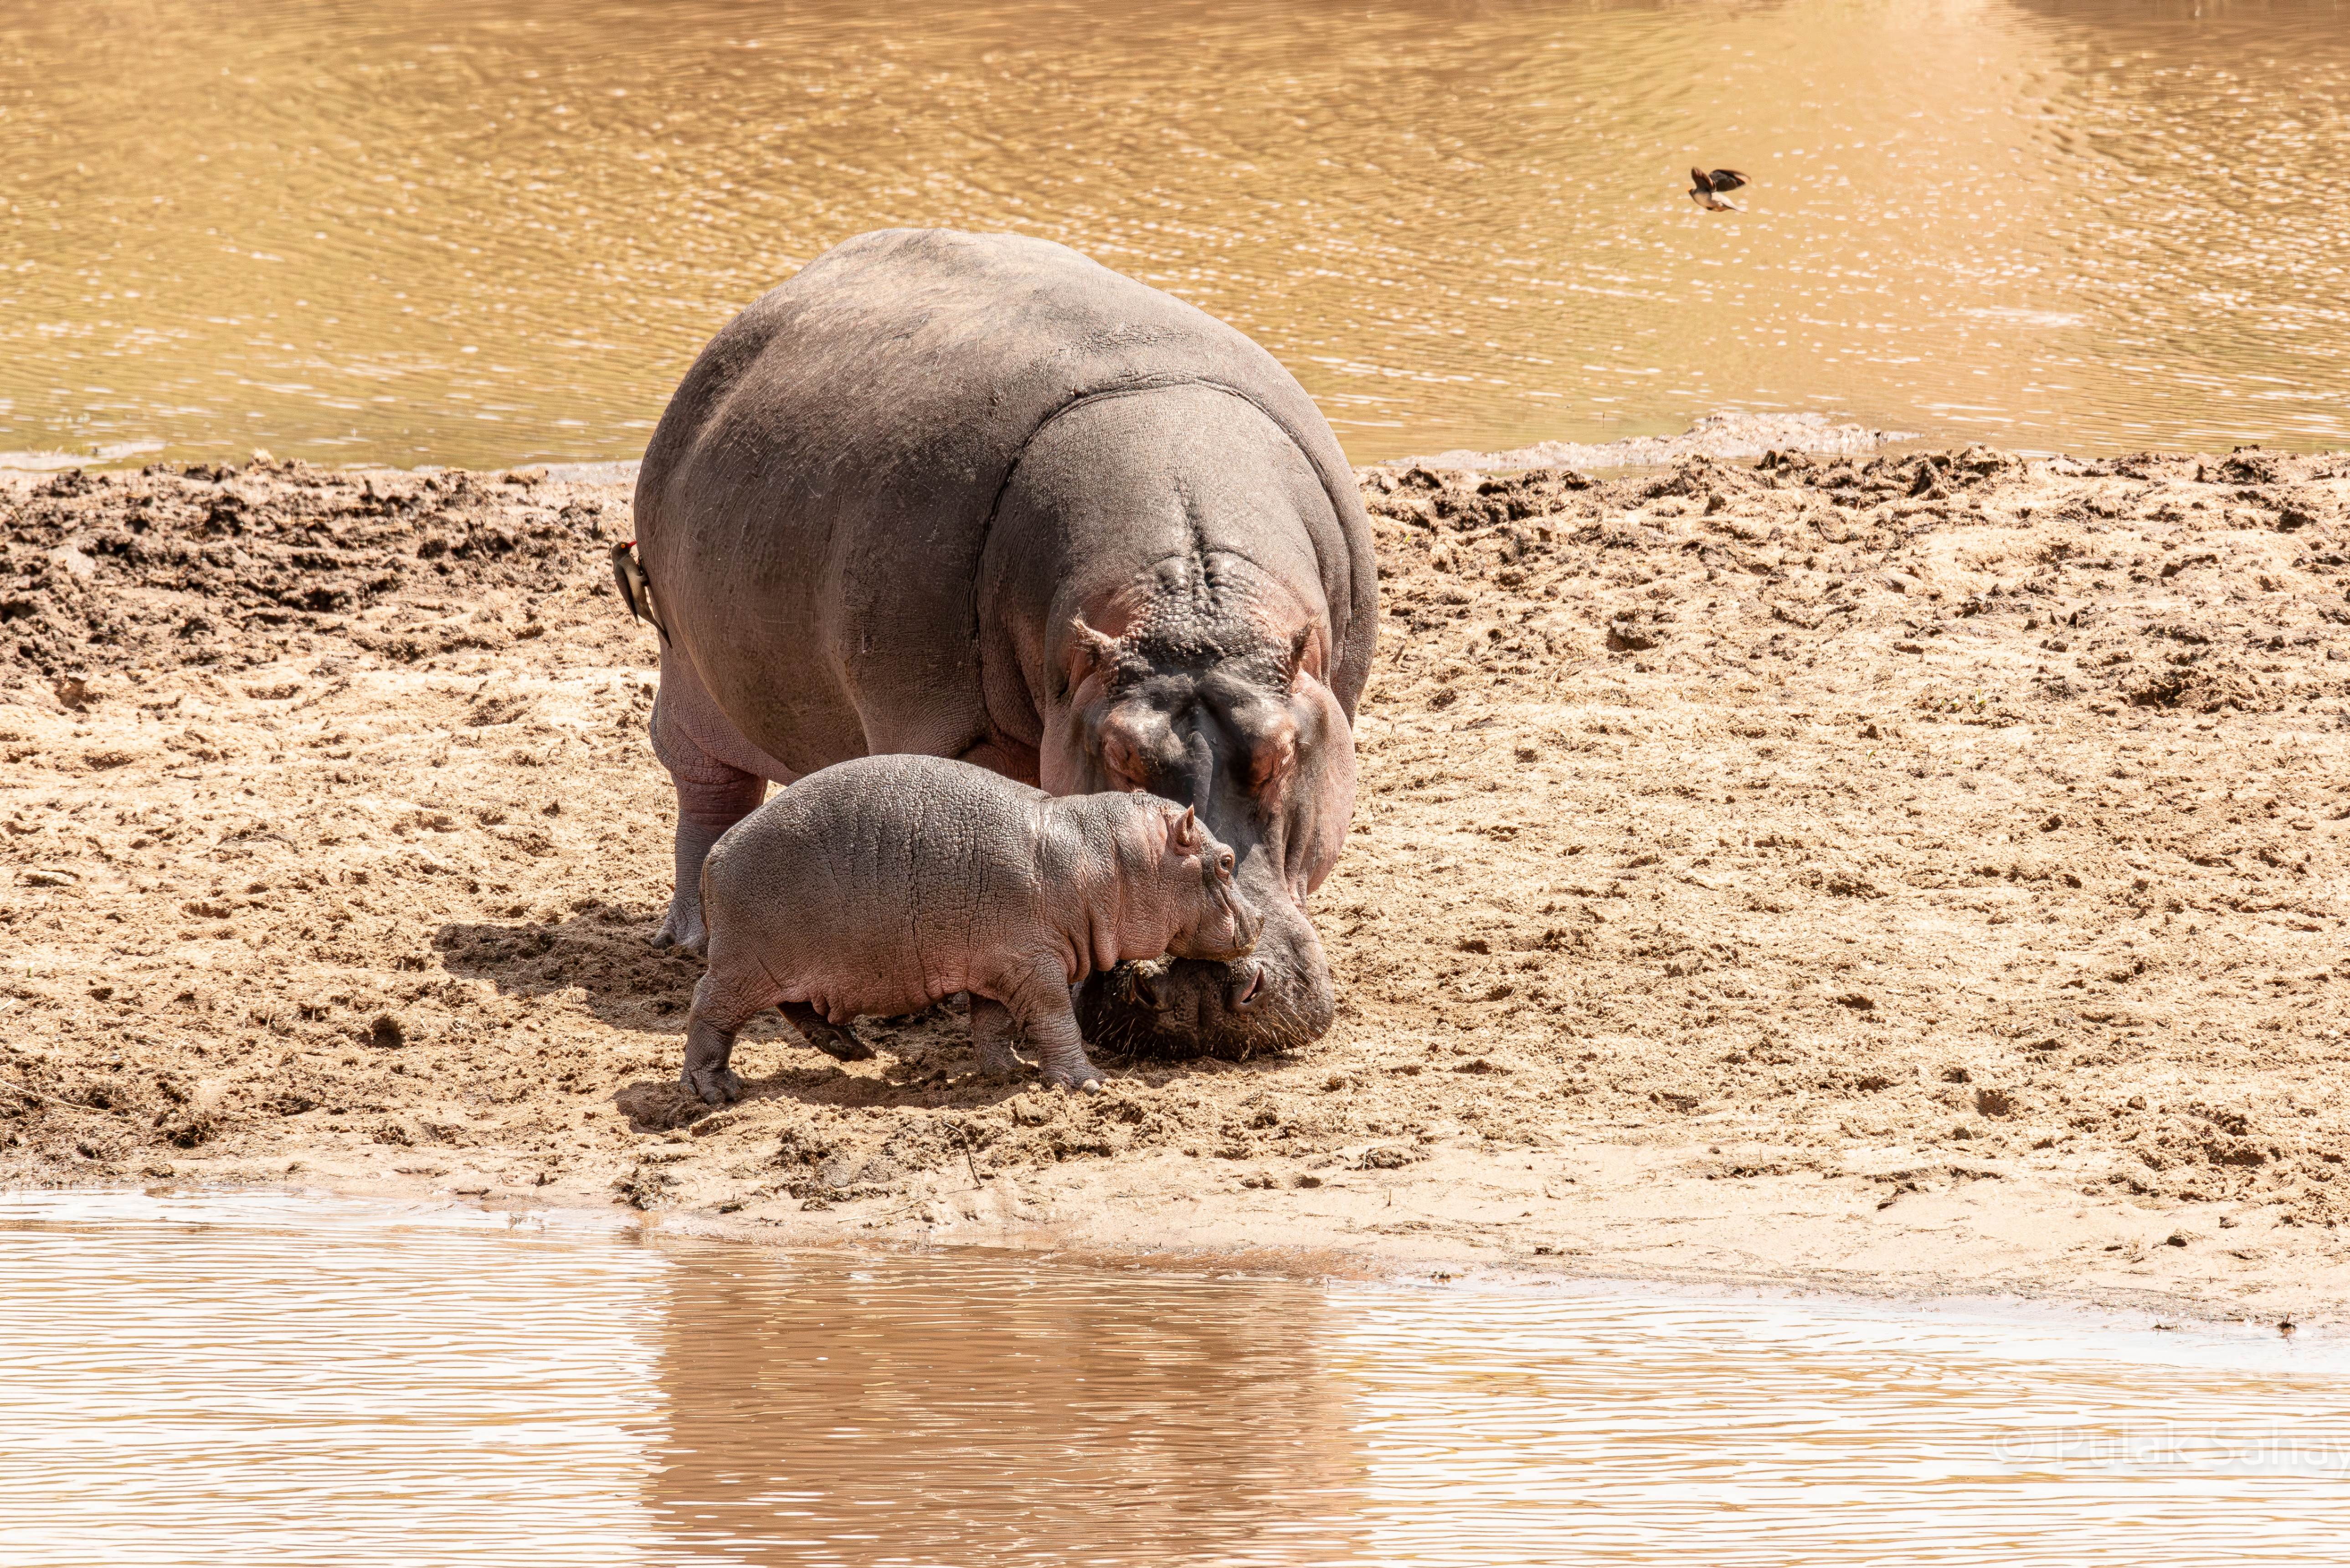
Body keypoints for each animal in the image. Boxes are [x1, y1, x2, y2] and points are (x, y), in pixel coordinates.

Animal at [634, 227, 1377, 1059]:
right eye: (1119, 753)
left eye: (1281, 752)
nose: (1198, 989)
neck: (1187, 604)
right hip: (687, 670)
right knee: (706, 786)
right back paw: (694, 936)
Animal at [682, 754, 1261, 1101]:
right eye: (1227, 861)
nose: (1257, 921)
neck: (1107, 858)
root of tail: (714, 856)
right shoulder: (1034, 965)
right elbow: (1056, 1020)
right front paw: (1091, 1083)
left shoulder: (997, 967)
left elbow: (993, 1022)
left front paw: (1006, 1070)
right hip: (745, 962)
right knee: (708, 1010)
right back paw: (716, 1091)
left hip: (795, 965)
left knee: (799, 1007)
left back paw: (853, 1050)